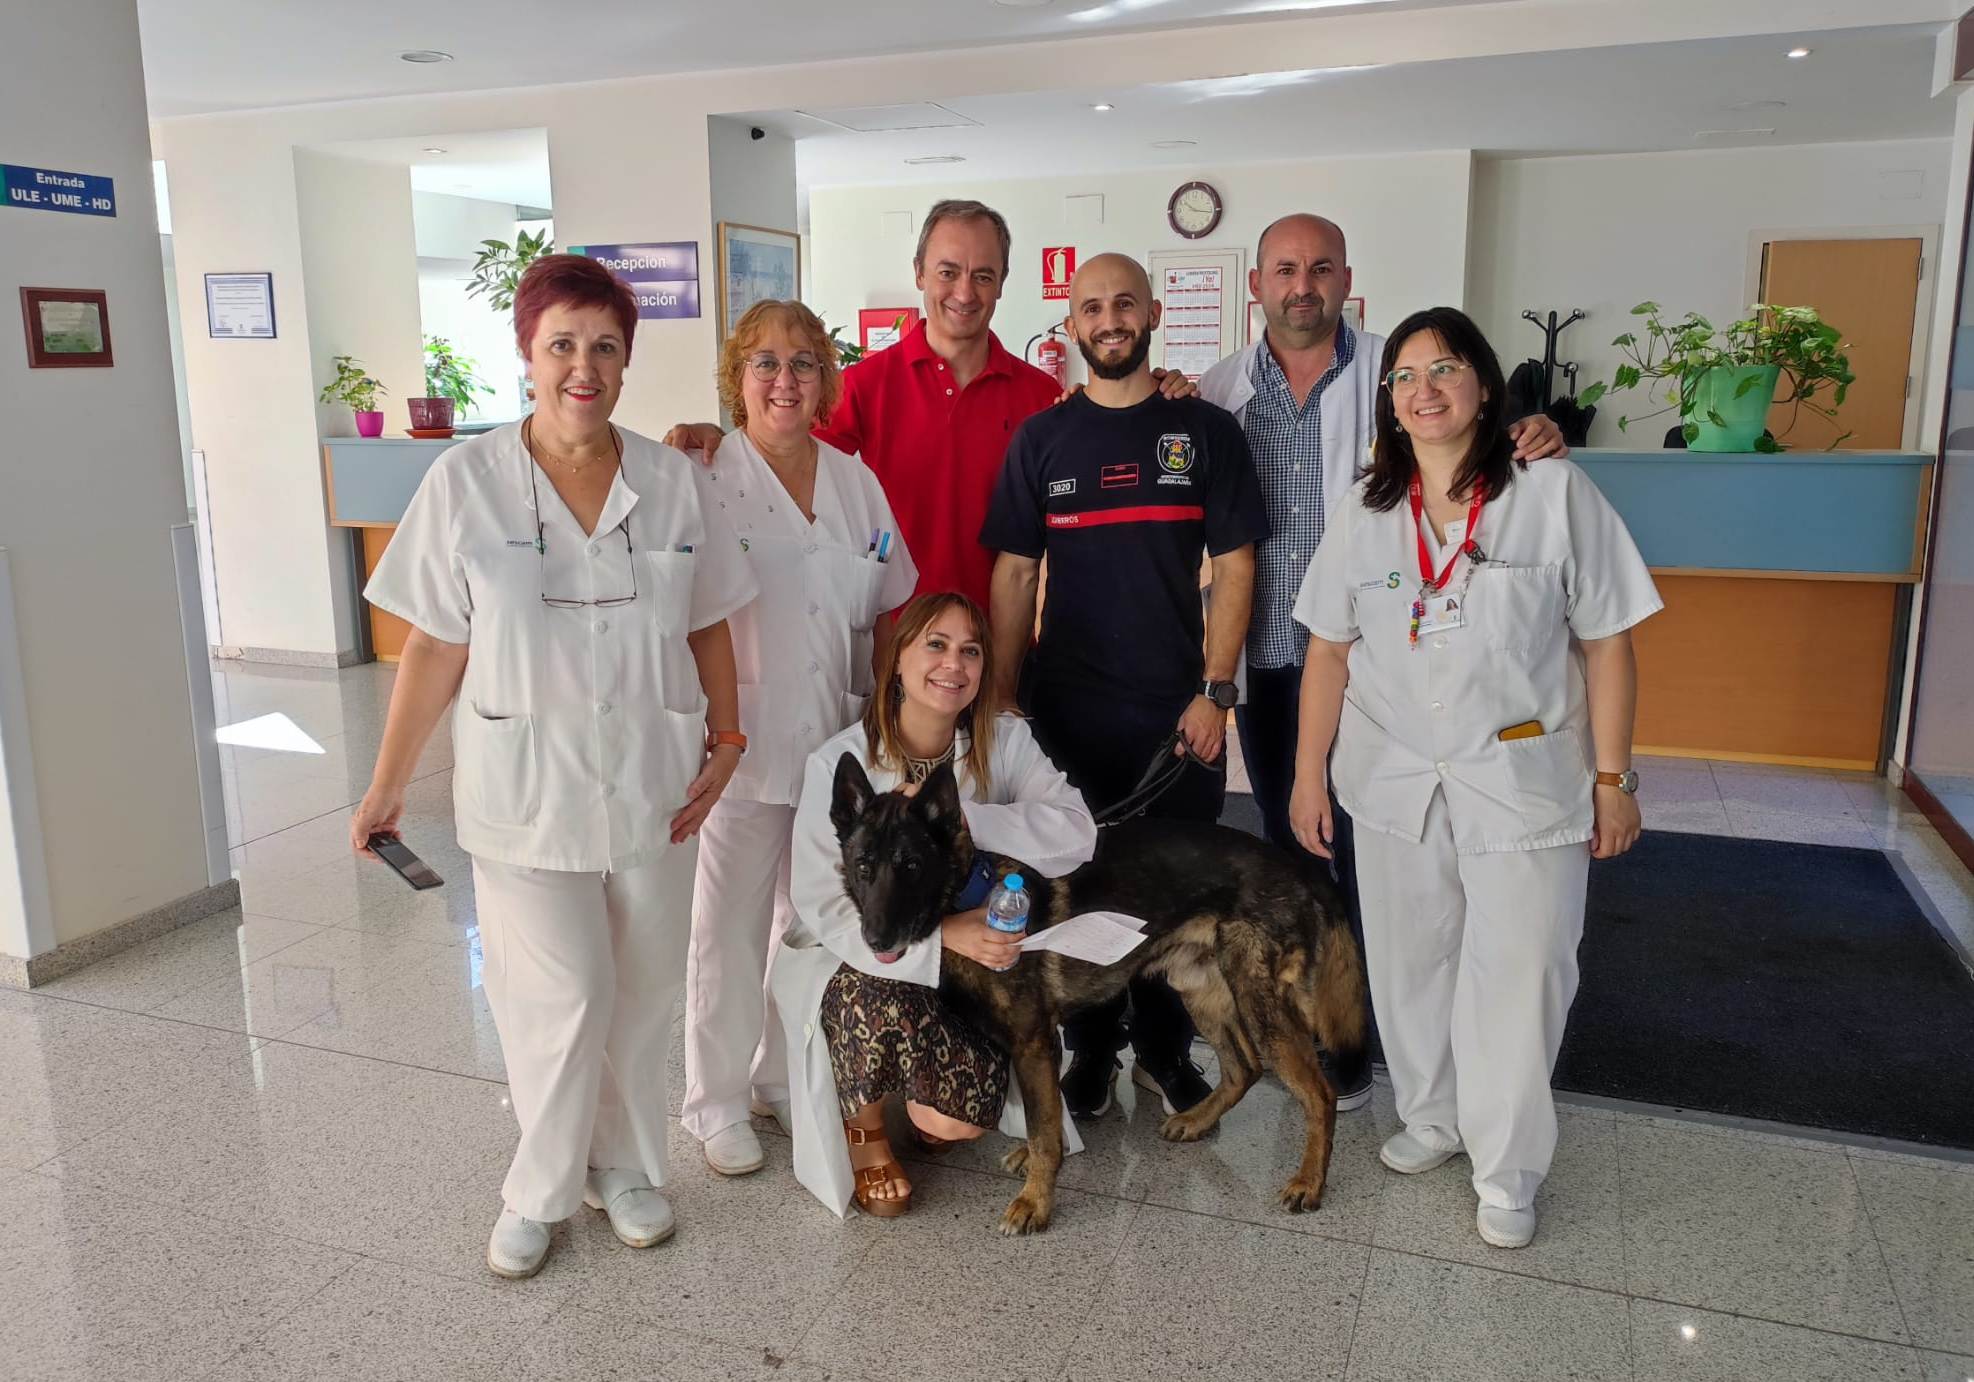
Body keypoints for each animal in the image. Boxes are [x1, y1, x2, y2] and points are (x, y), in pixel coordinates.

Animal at [825, 750, 1366, 1239]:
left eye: (912, 866)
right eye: (864, 866)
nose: (876, 940)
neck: (970, 896)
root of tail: (1301, 869)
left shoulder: (1033, 1041)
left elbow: (1044, 1129)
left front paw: (1036, 1202)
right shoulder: (1030, 1046)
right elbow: (1042, 1119)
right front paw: (1037, 1163)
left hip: (1259, 1004)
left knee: (1317, 1092)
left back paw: (1309, 1181)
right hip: (1201, 990)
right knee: (1243, 1068)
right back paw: (1196, 1121)